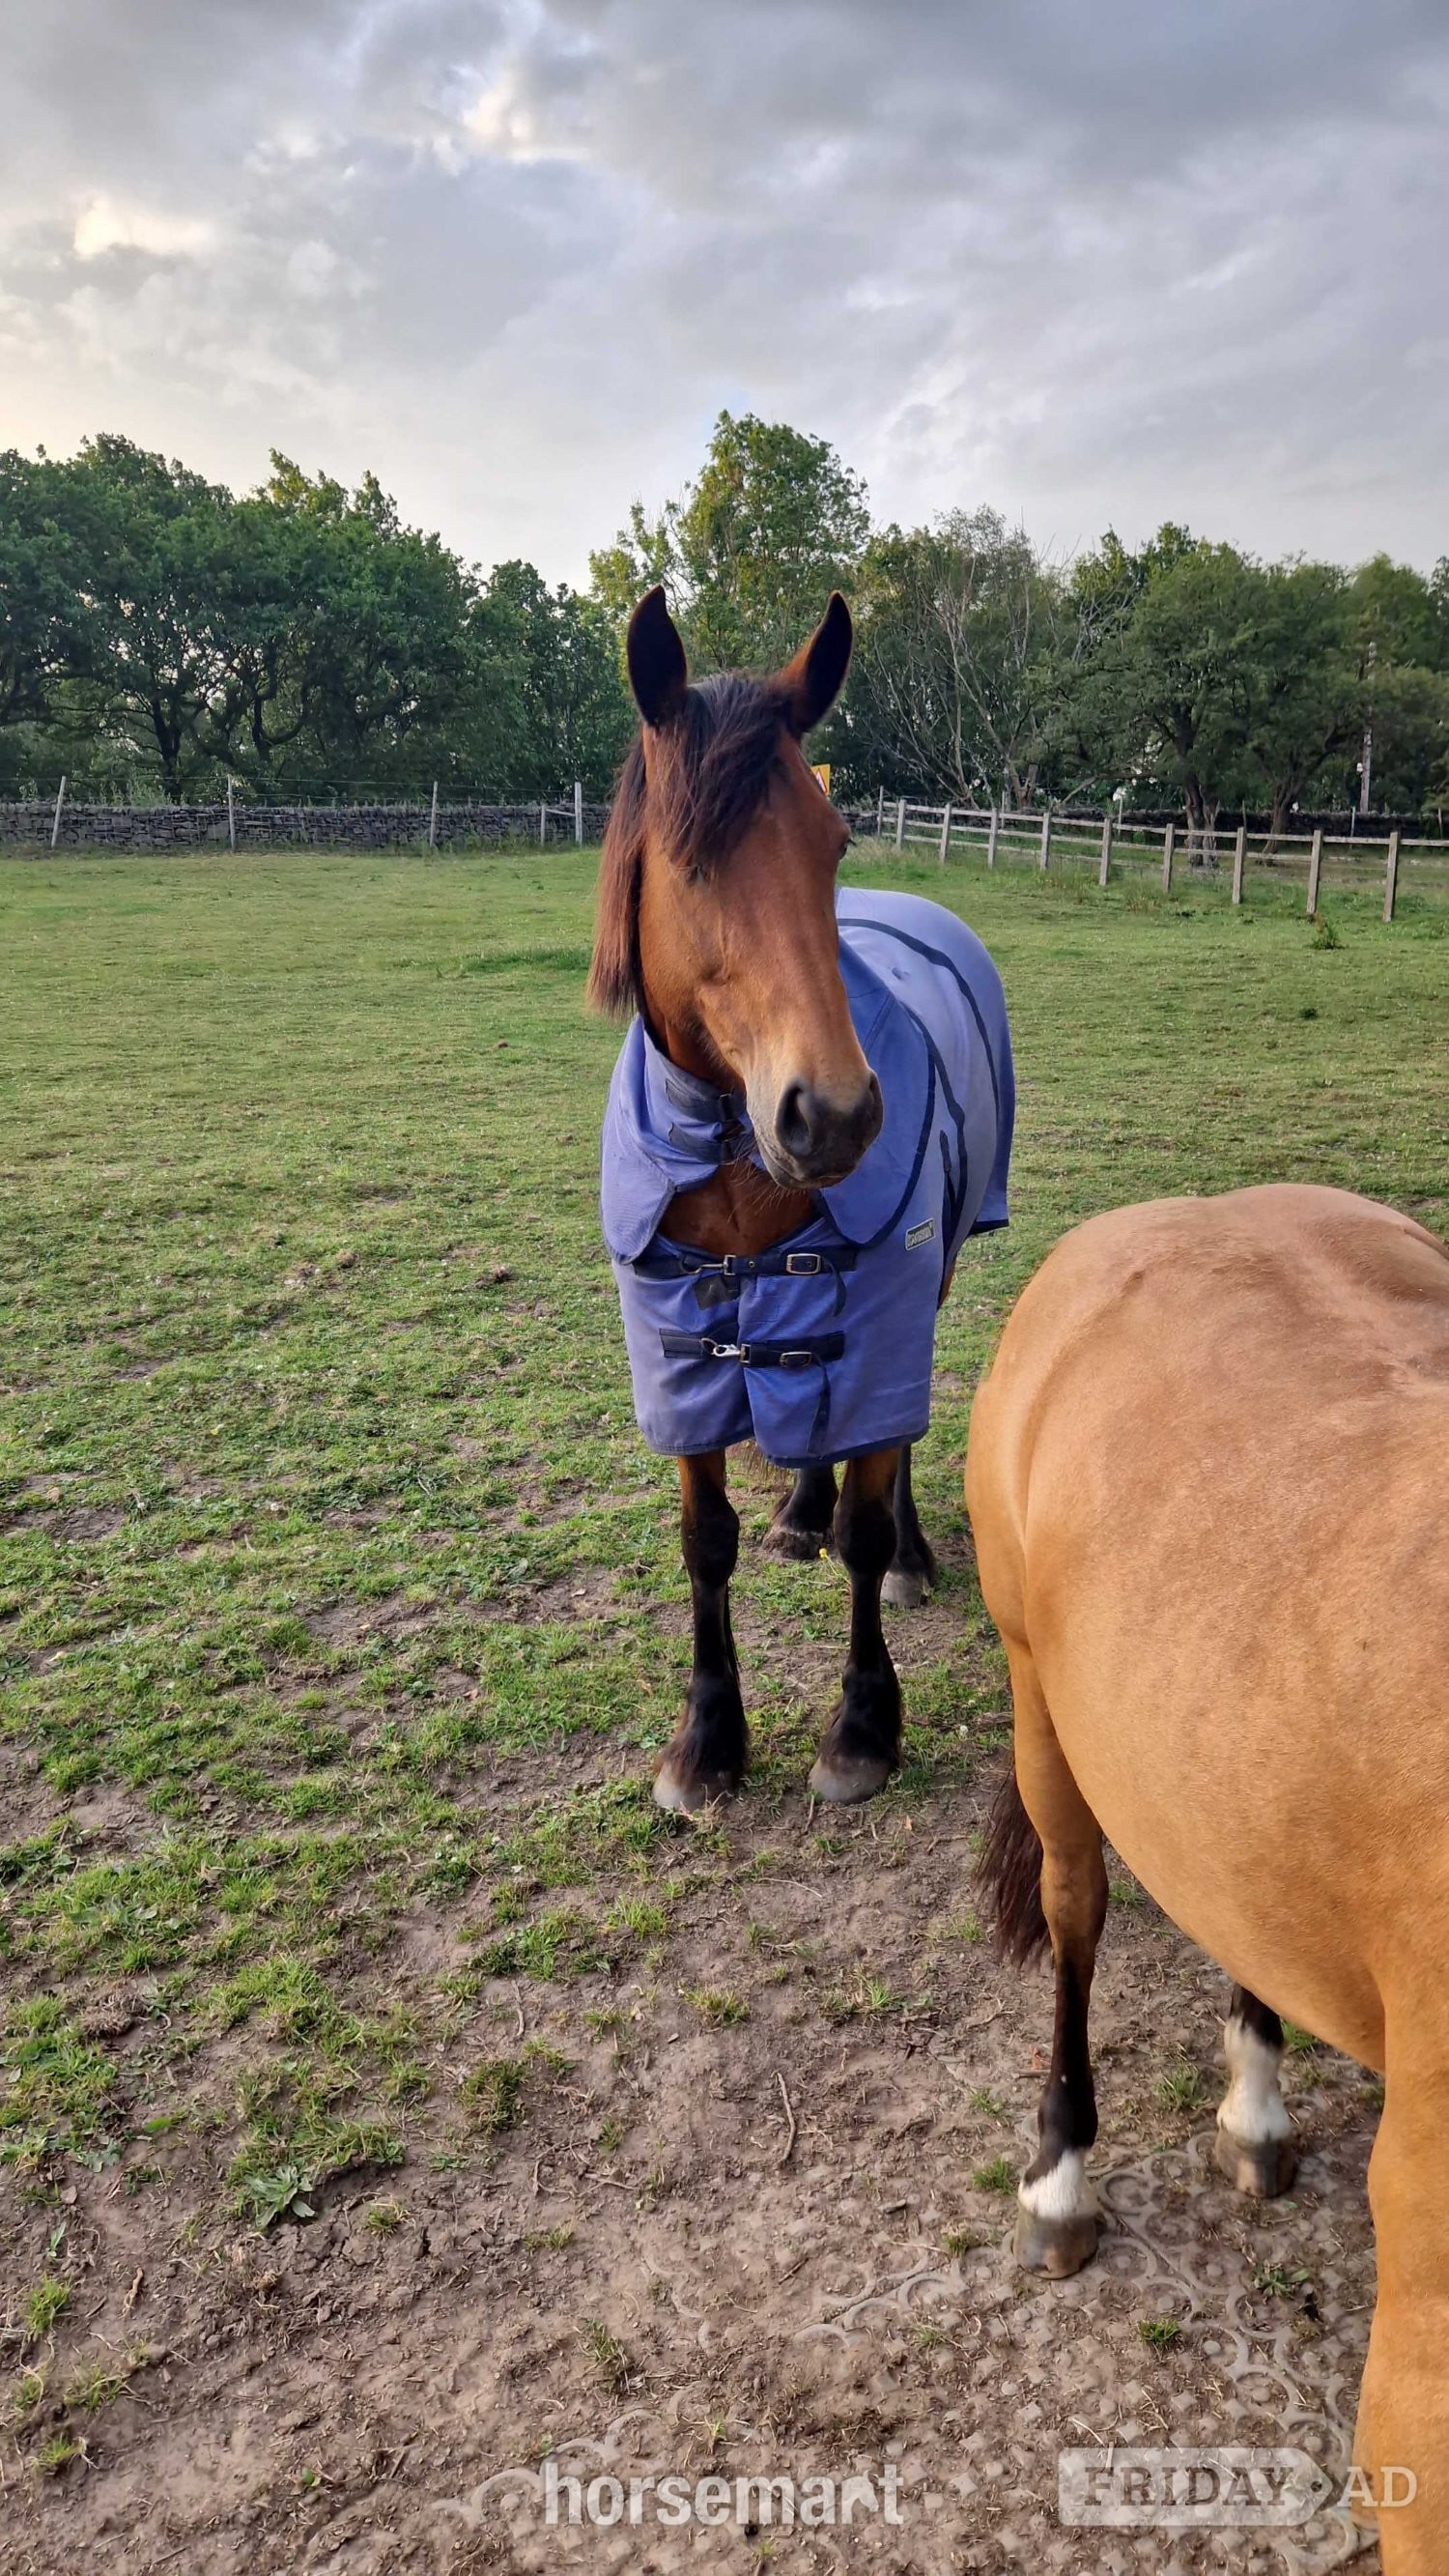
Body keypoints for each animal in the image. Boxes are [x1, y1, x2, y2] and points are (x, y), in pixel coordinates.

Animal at [591, 586, 1014, 1814]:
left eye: (831, 845)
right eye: (687, 866)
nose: (831, 1115)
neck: (730, 1155)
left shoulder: (879, 1306)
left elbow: (867, 1520)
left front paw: (864, 1725)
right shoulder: (678, 1348)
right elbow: (704, 1538)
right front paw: (707, 1738)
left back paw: (912, 1552)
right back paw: (797, 1513)